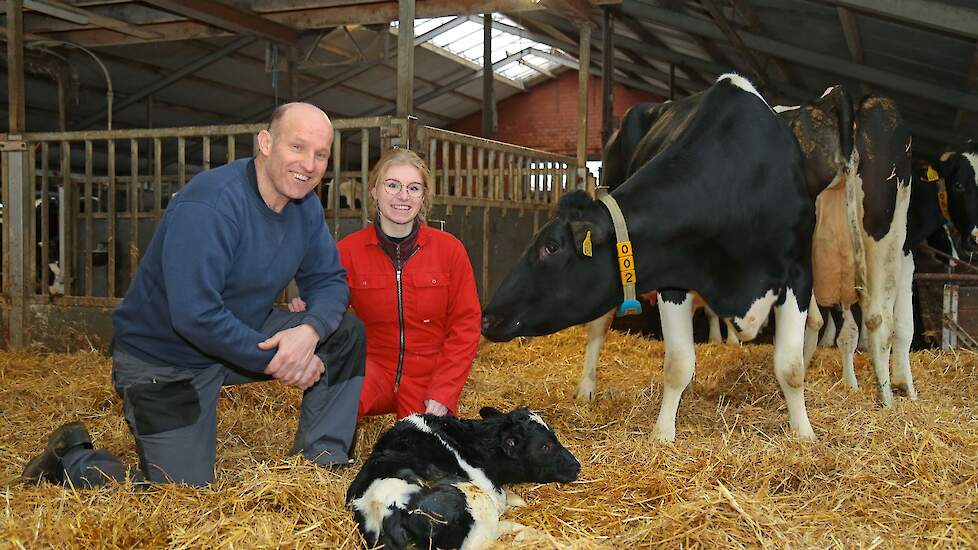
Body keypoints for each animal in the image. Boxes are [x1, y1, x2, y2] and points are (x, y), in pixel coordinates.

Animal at [480, 75, 816, 442]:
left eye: (551, 247)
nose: (488, 317)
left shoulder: (799, 271)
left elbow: (792, 366)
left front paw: (804, 432)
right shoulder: (673, 275)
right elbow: (678, 363)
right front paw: (663, 433)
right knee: (598, 329)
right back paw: (586, 387)